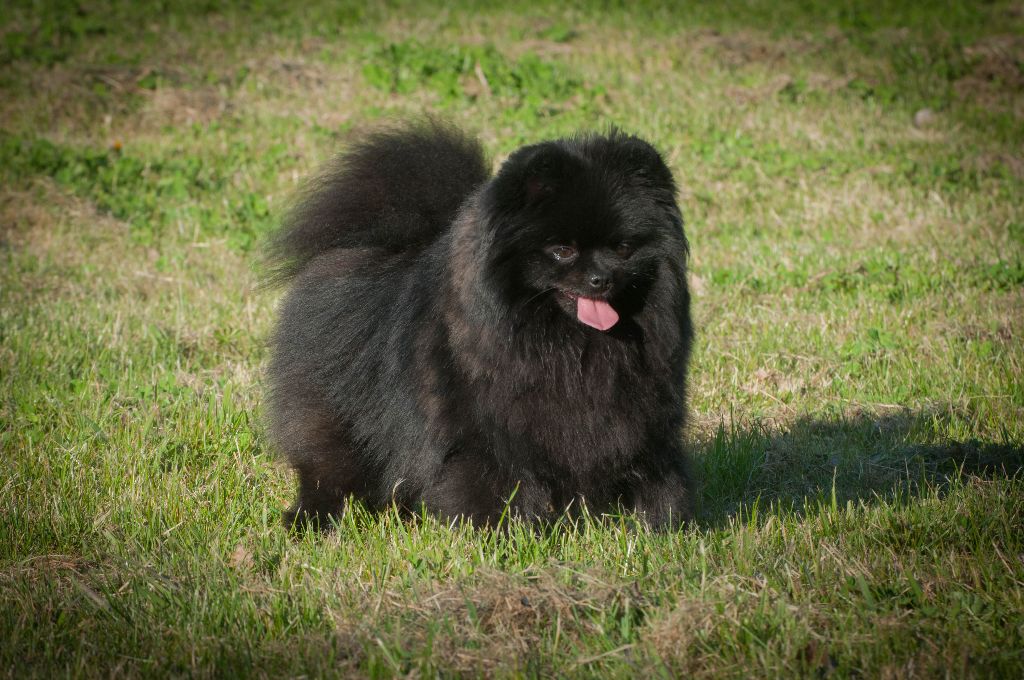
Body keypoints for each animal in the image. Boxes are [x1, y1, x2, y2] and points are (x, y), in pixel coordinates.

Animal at [266, 122, 696, 528]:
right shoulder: (484, 434)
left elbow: (654, 480)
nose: (601, 279)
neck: (565, 343)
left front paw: (657, 524)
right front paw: (497, 534)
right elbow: (490, 484)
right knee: (328, 471)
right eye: (562, 251)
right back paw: (312, 518)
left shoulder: (639, 423)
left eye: (622, 248)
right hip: (336, 417)